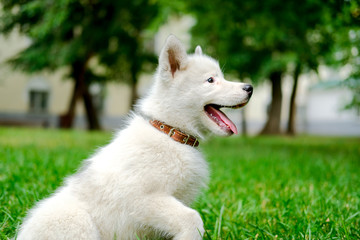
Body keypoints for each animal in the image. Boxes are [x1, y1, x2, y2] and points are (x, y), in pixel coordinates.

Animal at [16, 34, 252, 239]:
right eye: (210, 80)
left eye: (221, 76)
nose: (249, 87)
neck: (170, 133)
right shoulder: (144, 200)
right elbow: (192, 218)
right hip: (77, 221)